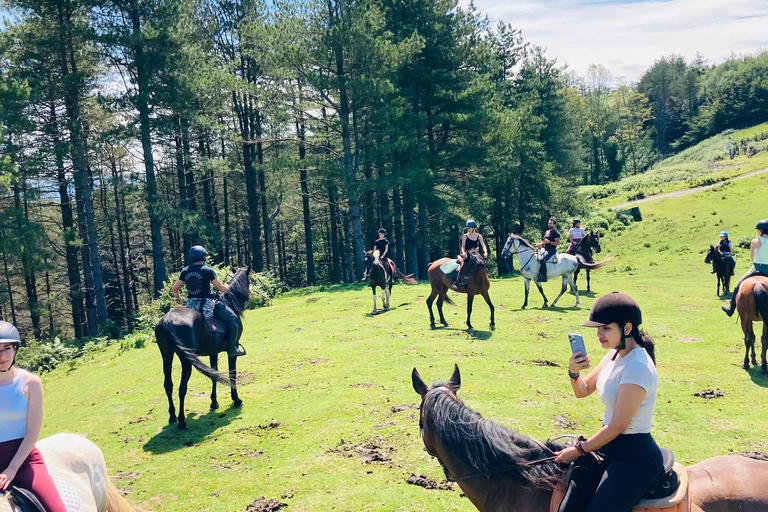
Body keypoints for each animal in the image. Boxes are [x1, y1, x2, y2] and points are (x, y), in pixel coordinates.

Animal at [154, 266, 252, 430]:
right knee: (182, 388)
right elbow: (232, 372)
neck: (229, 303)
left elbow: (214, 374)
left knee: (168, 384)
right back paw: (182, 421)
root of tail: (168, 319)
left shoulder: (214, 352)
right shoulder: (231, 352)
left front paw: (214, 402)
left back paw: (173, 417)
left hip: (166, 355)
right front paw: (236, 400)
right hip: (186, 360)